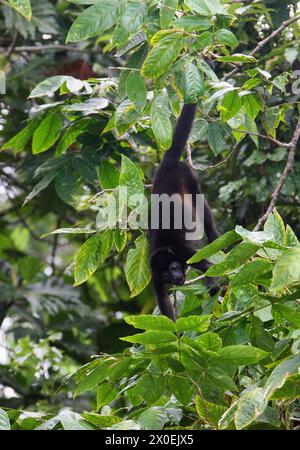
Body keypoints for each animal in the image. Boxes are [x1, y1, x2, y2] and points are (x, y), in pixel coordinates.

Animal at [149, 103, 219, 322]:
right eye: (166, 275)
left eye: (173, 268)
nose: (177, 278)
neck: (168, 250)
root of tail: (166, 165)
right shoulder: (154, 274)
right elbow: (163, 301)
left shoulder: (183, 253)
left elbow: (205, 264)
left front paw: (213, 284)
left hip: (186, 175)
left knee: (201, 206)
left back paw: (215, 237)